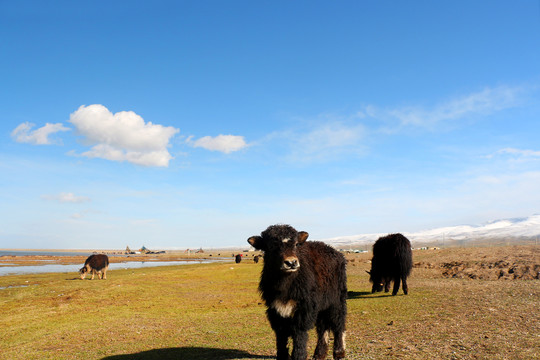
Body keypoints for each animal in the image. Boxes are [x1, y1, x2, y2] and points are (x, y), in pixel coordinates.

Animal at [248, 224, 348, 358]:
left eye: (296, 244)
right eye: (271, 246)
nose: (291, 262)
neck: (285, 284)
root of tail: (338, 254)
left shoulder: (304, 310)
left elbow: (299, 335)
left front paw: (298, 355)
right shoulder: (275, 310)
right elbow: (281, 336)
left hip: (337, 301)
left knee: (338, 323)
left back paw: (339, 352)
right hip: (322, 306)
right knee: (323, 327)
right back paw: (319, 354)